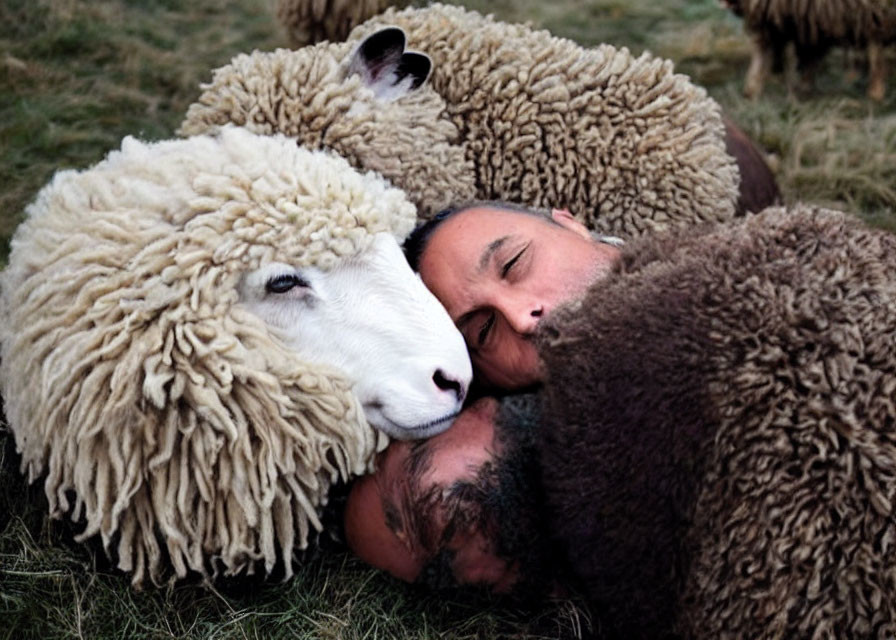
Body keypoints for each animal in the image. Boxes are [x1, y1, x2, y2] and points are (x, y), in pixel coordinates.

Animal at [724, 0, 896, 100]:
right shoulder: (810, 22)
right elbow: (809, 56)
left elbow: (764, 53)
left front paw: (752, 90)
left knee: (877, 55)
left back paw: (875, 93)